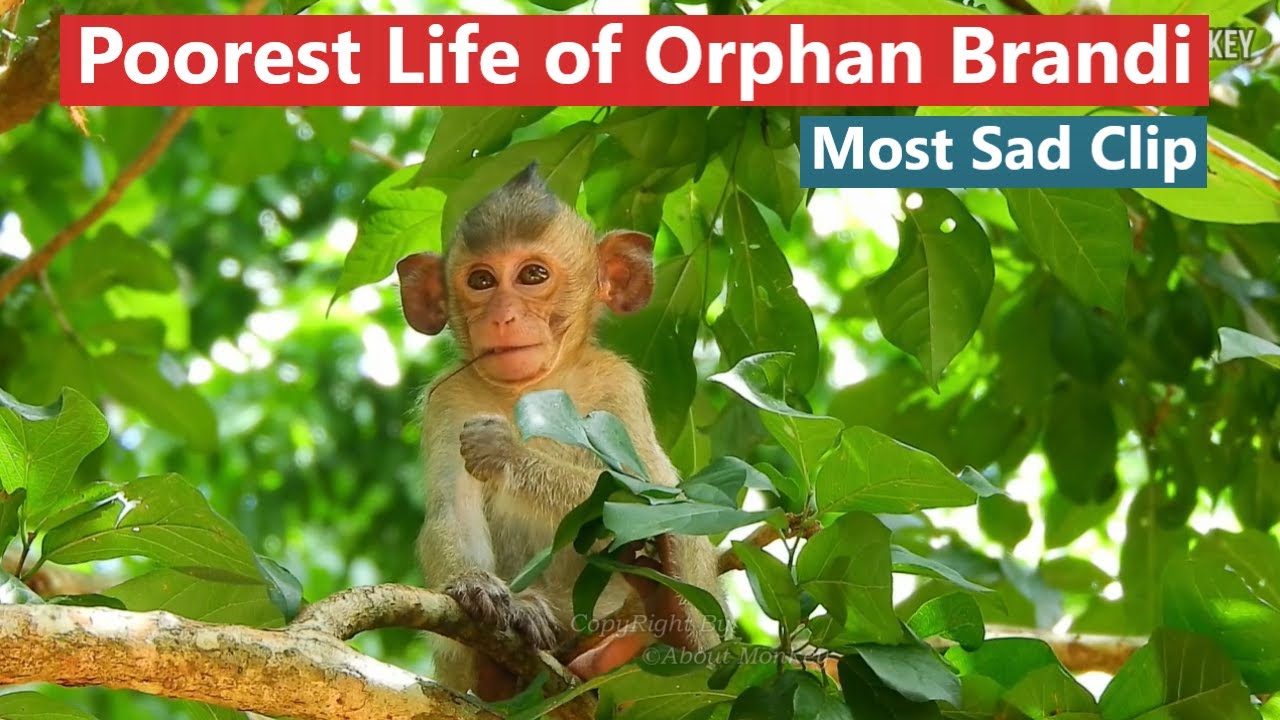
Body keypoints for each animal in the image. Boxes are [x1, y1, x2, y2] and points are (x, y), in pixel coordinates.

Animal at [396, 163, 727, 701]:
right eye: (481, 280)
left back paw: (666, 619)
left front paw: (505, 451)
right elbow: (452, 513)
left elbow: (645, 497)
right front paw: (476, 586)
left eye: (533, 275)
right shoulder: (448, 401)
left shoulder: (617, 384)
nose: (503, 316)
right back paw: (498, 667)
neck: (531, 389)